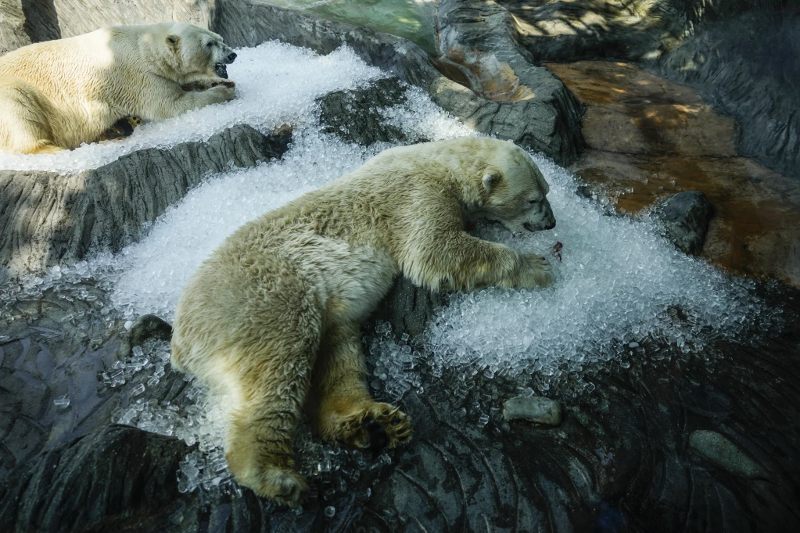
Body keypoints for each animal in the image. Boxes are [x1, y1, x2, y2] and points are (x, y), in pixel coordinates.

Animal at [0, 22, 238, 154]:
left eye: (220, 38)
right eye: (208, 44)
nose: (232, 54)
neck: (144, 47)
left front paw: (218, 82)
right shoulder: (138, 77)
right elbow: (172, 104)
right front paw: (224, 90)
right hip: (15, 91)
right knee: (20, 112)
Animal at [169, 136, 556, 502]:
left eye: (547, 191)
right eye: (534, 199)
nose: (551, 222)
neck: (437, 161)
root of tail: (182, 342)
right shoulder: (416, 196)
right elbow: (435, 251)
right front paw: (536, 266)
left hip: (318, 314)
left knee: (340, 354)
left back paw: (369, 421)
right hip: (264, 300)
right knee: (278, 367)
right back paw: (275, 475)